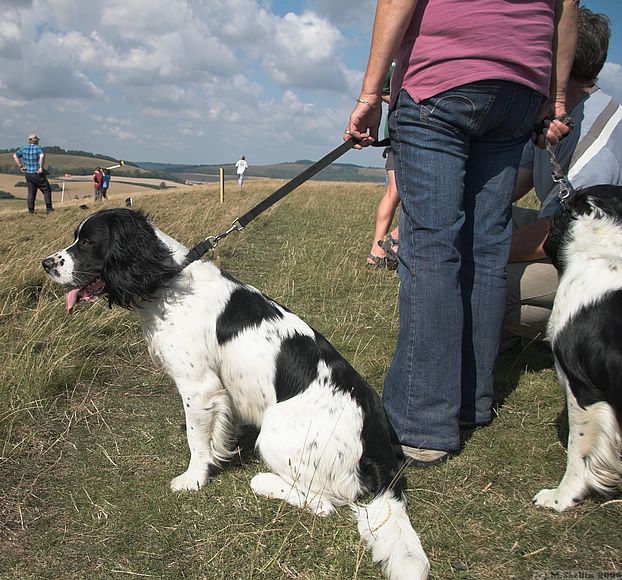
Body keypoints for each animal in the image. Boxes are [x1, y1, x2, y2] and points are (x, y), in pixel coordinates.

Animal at [41, 210, 432, 580]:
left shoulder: (198, 386)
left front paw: (193, 479)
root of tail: (378, 443)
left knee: (323, 502)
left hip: (275, 433)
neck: (166, 279)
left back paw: (265, 482)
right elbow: (216, 432)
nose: (46, 263)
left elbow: (196, 440)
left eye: (88, 242)